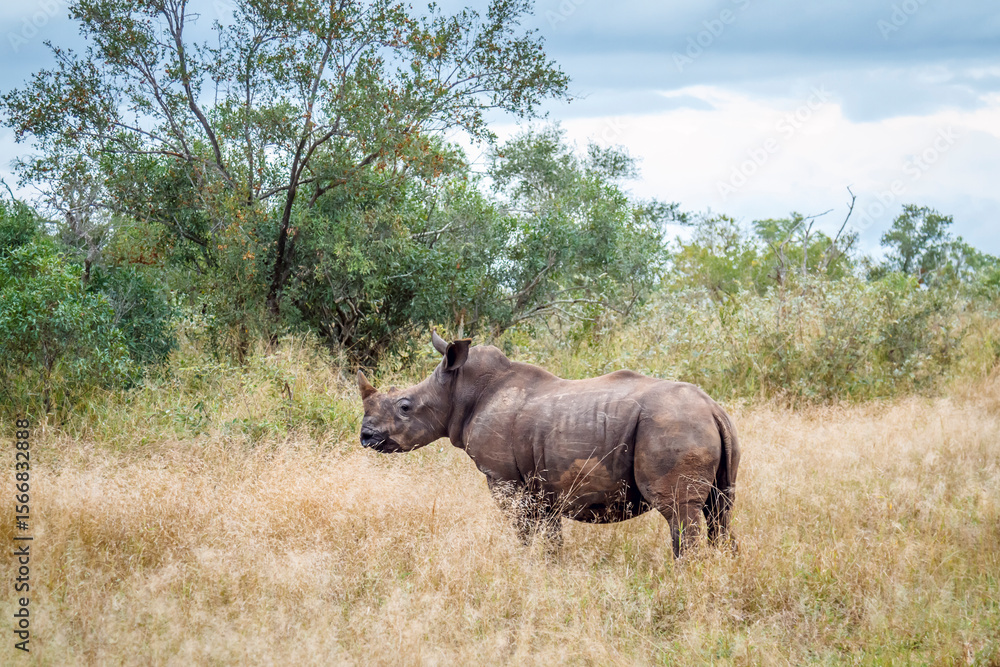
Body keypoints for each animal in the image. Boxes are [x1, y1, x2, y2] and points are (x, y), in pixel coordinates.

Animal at [357, 332, 740, 557]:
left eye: (404, 407)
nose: (365, 437)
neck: (457, 390)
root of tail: (713, 407)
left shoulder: (504, 478)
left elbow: (523, 530)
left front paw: (524, 564)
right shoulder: (545, 485)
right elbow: (552, 536)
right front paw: (551, 568)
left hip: (673, 425)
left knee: (680, 513)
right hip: (705, 430)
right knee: (720, 512)